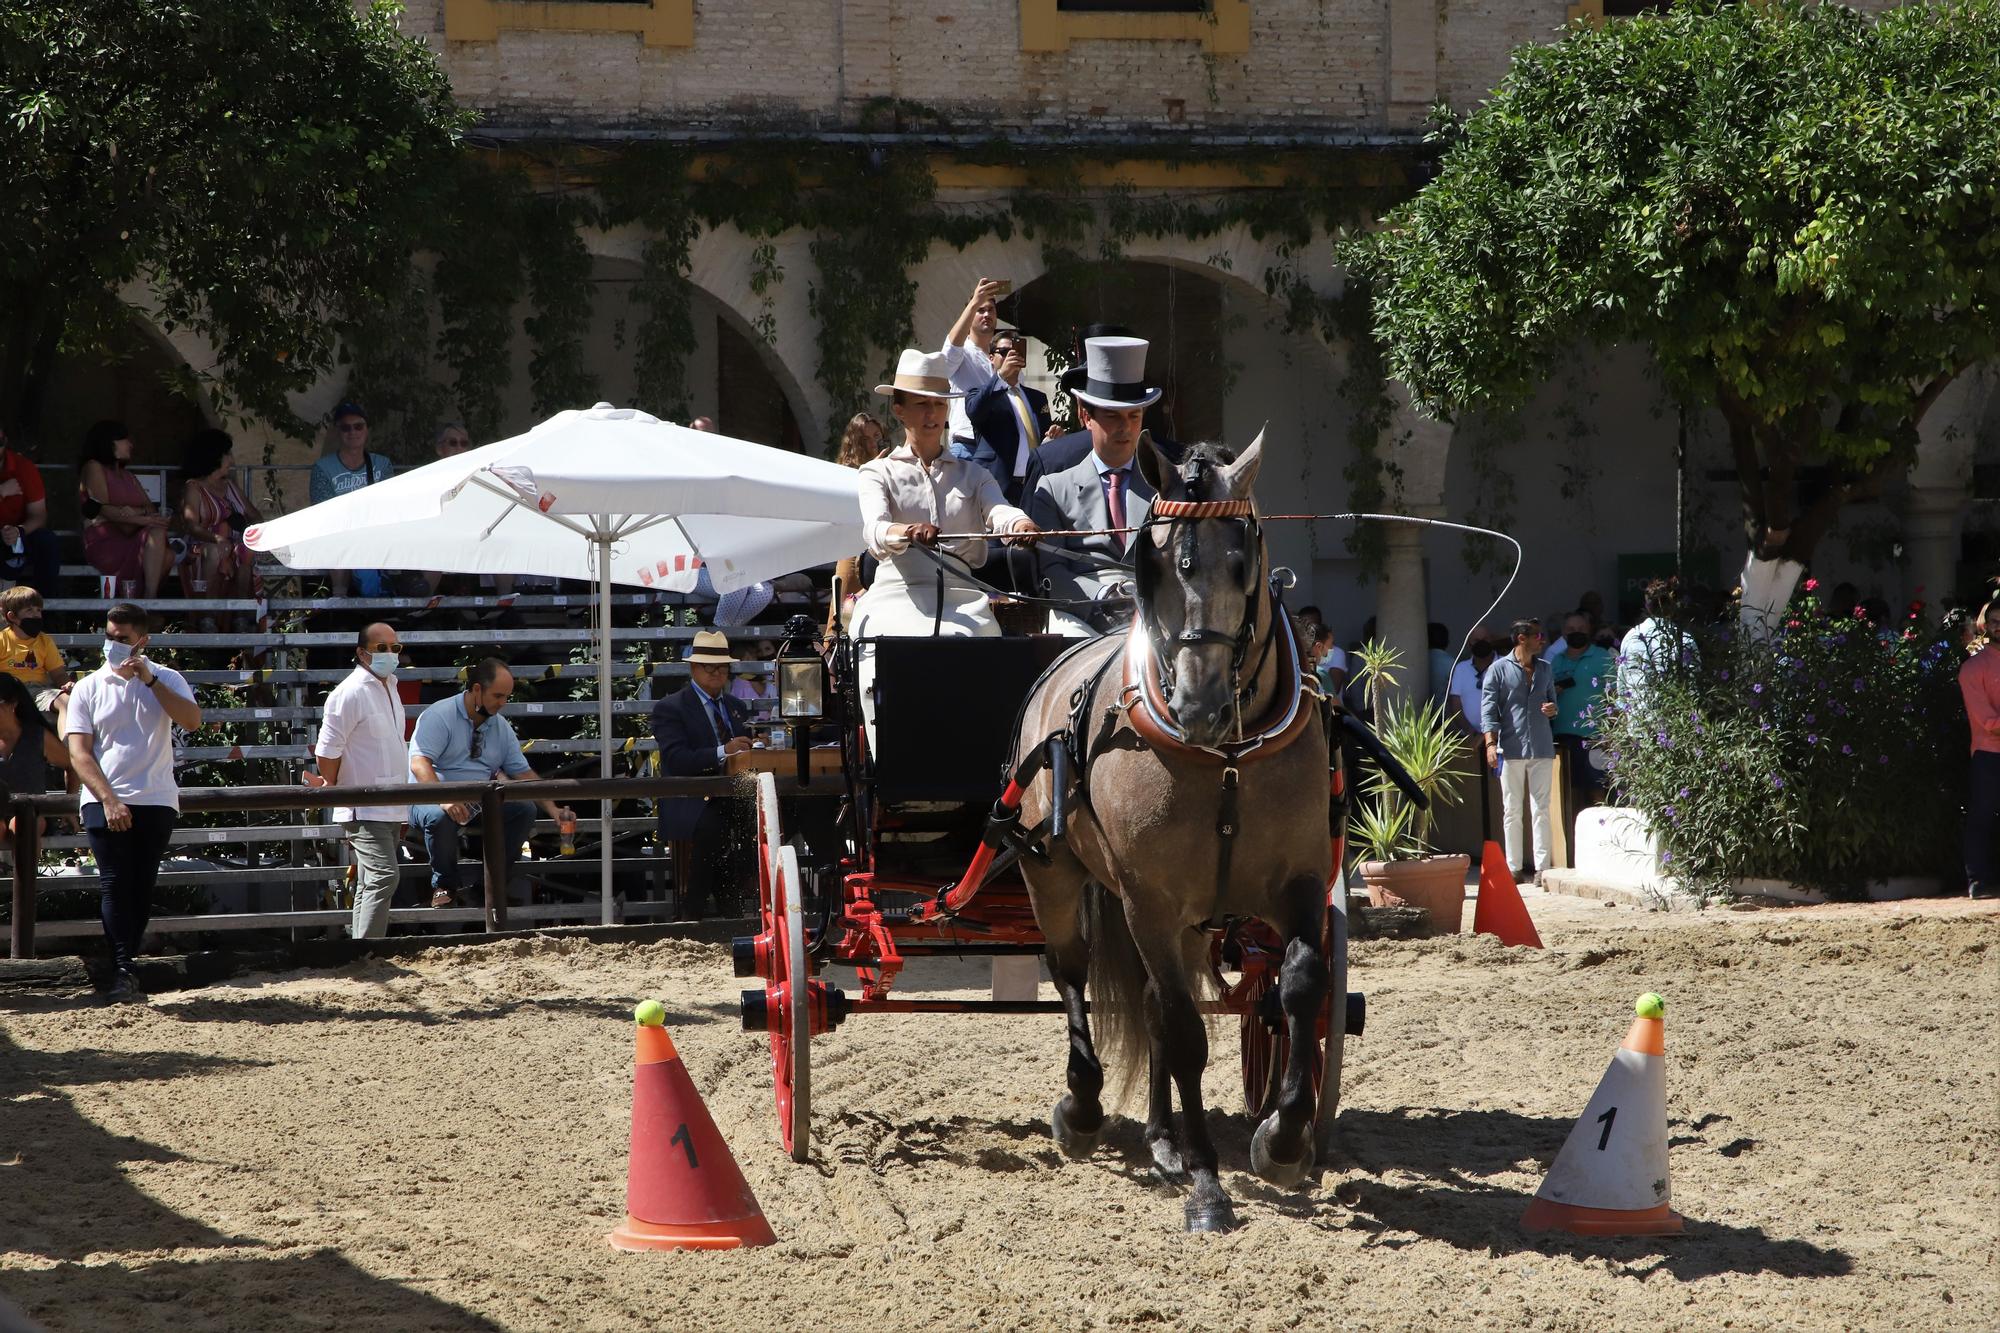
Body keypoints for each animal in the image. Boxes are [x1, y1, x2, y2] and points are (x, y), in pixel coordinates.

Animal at [1008, 430, 1336, 1232]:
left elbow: (1300, 986)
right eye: (1154, 563)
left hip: (1182, 922)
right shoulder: (1149, 900)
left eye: (1243, 560)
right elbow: (1187, 1036)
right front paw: (1209, 1184)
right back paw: (1083, 1108)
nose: (1197, 704)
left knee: (1158, 1003)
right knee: (1073, 973)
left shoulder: (1299, 880)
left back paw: (1162, 1137)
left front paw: (1282, 1140)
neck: (1226, 758)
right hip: (1056, 875)